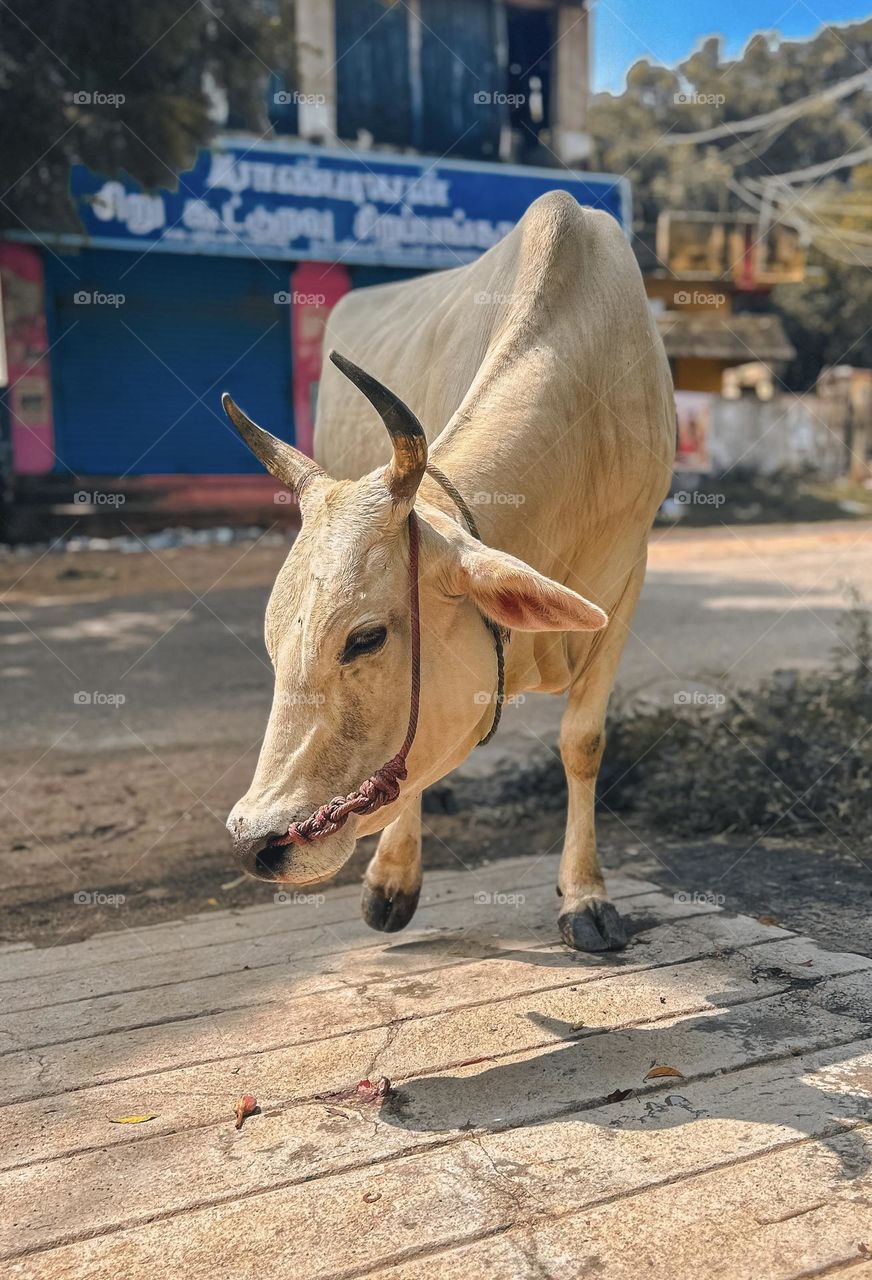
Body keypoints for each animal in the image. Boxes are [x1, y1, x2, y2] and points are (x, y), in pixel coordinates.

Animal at [224, 190, 674, 952]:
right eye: (271, 642)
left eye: (367, 638)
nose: (258, 840)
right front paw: (392, 880)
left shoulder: (627, 580)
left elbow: (582, 742)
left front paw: (585, 897)